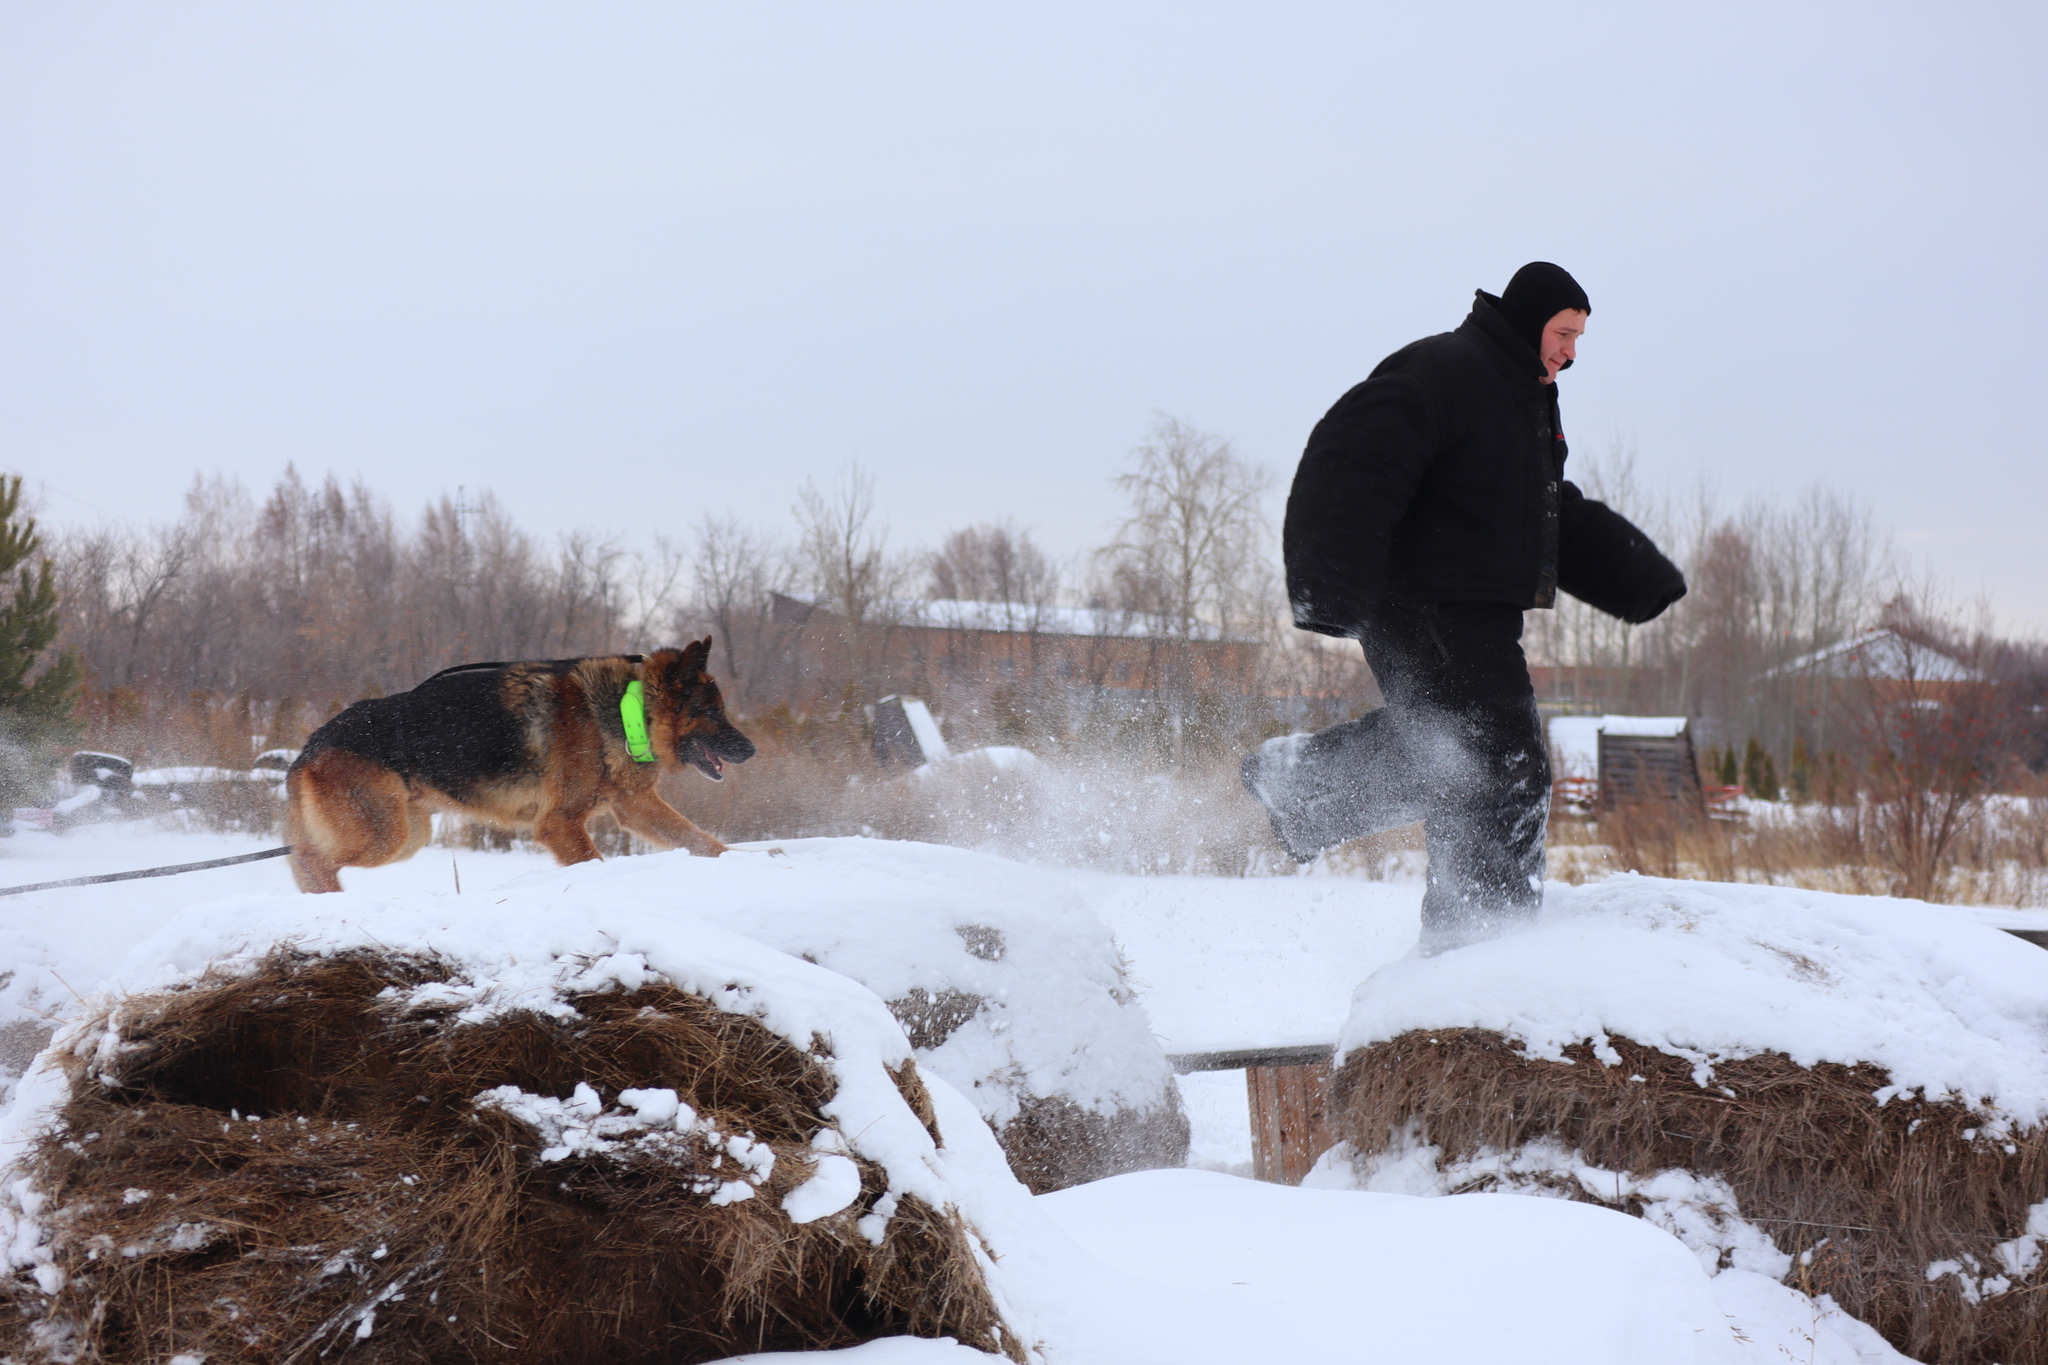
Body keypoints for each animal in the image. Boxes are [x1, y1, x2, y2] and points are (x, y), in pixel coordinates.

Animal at [284, 642, 757, 896]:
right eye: (712, 713)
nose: (751, 750)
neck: (628, 712)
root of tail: (310, 745)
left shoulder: (636, 807)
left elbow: (703, 841)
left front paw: (751, 862)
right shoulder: (560, 824)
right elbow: (593, 863)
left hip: (409, 832)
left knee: (305, 856)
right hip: (386, 834)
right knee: (310, 857)